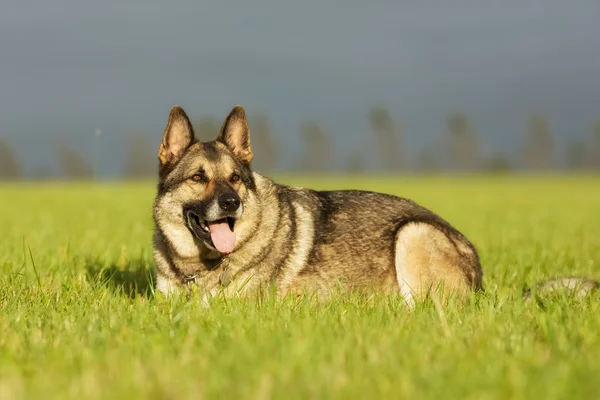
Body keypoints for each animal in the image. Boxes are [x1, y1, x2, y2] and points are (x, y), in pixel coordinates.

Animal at [152, 104, 596, 304]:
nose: (231, 204)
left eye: (235, 180)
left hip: (413, 234)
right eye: (198, 178)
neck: (200, 267)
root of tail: (481, 286)